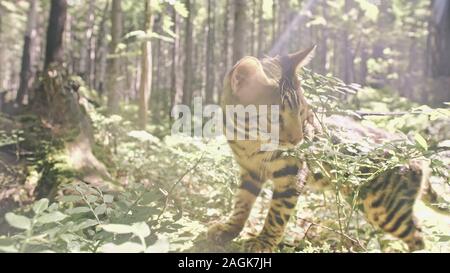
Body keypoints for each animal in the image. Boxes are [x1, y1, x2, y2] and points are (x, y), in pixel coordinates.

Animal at [208, 46, 450, 251]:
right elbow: (242, 204)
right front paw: (229, 229)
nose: (299, 139)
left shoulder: (292, 173)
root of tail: (418, 155)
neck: (248, 142)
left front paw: (263, 242)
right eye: (276, 118)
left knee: (418, 236)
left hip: (384, 209)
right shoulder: (250, 171)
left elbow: (276, 214)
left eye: (303, 114)